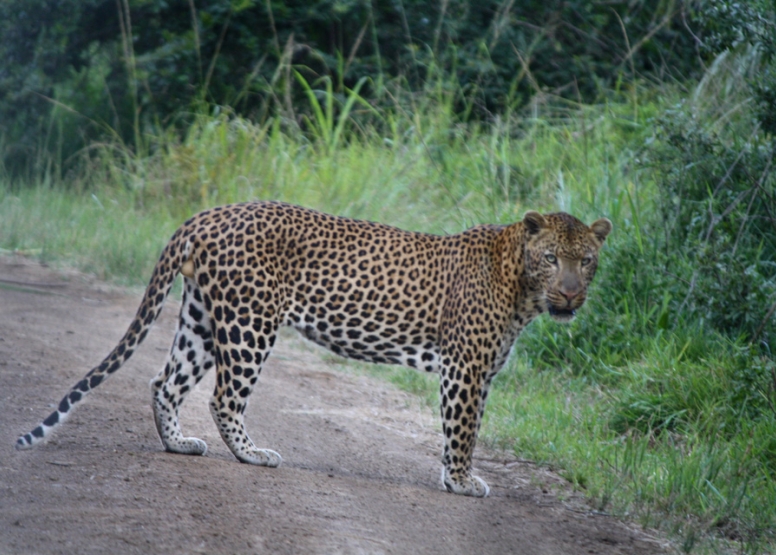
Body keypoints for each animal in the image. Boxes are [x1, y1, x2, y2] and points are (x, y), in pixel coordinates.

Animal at [13, 201, 612, 500]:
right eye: (551, 258)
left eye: (586, 261)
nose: (570, 295)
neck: (521, 285)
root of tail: (207, 214)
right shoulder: (466, 367)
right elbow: (463, 430)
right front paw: (463, 483)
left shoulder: (477, 372)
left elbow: (460, 429)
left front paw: (452, 479)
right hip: (250, 322)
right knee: (224, 396)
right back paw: (252, 454)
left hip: (202, 319)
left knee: (165, 382)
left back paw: (179, 444)